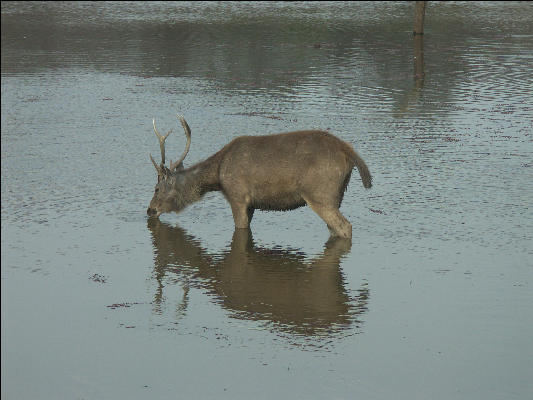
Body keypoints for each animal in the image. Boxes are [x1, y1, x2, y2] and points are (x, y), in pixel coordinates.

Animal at [145, 114, 370, 239]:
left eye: (156, 188)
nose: (150, 210)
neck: (218, 175)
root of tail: (348, 152)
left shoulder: (237, 196)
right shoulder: (252, 204)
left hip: (320, 194)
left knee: (345, 226)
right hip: (336, 196)